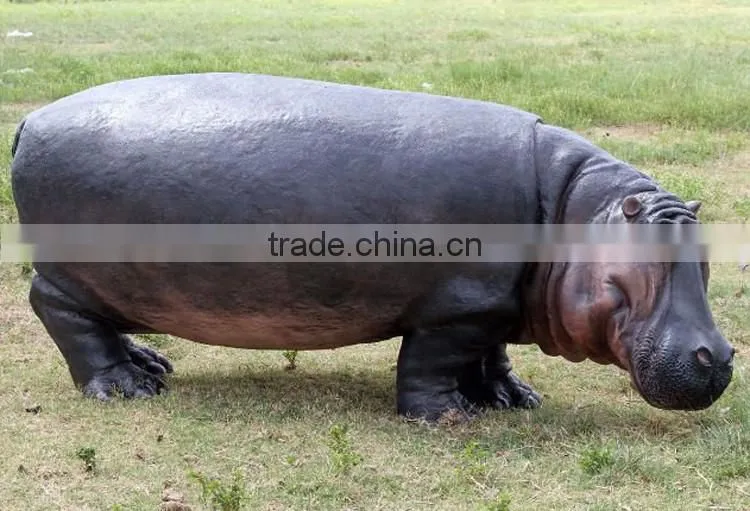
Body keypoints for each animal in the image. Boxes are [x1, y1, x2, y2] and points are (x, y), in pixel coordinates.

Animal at [10, 72, 735, 422]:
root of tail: (32, 119)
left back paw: (152, 364)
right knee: (61, 314)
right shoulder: (457, 308)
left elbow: (494, 355)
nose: (721, 357)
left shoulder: (495, 302)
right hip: (71, 276)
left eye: (702, 260)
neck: (574, 211)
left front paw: (514, 399)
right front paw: (448, 418)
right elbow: (432, 363)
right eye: (638, 270)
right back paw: (127, 389)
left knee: (101, 324)